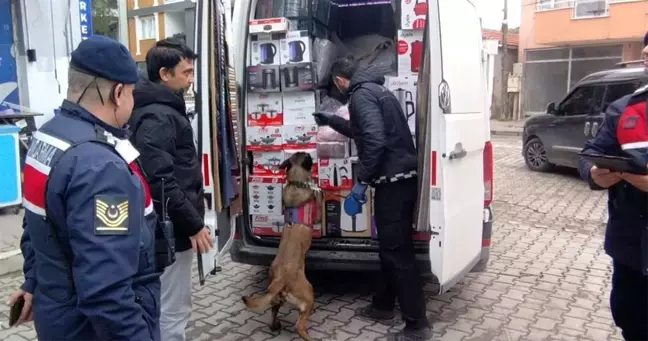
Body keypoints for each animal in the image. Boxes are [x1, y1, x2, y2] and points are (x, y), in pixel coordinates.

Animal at [242, 152, 320, 340]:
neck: (295, 183)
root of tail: (281, 279)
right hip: (308, 293)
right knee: (299, 325)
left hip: (275, 297)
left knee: (273, 312)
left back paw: (275, 325)